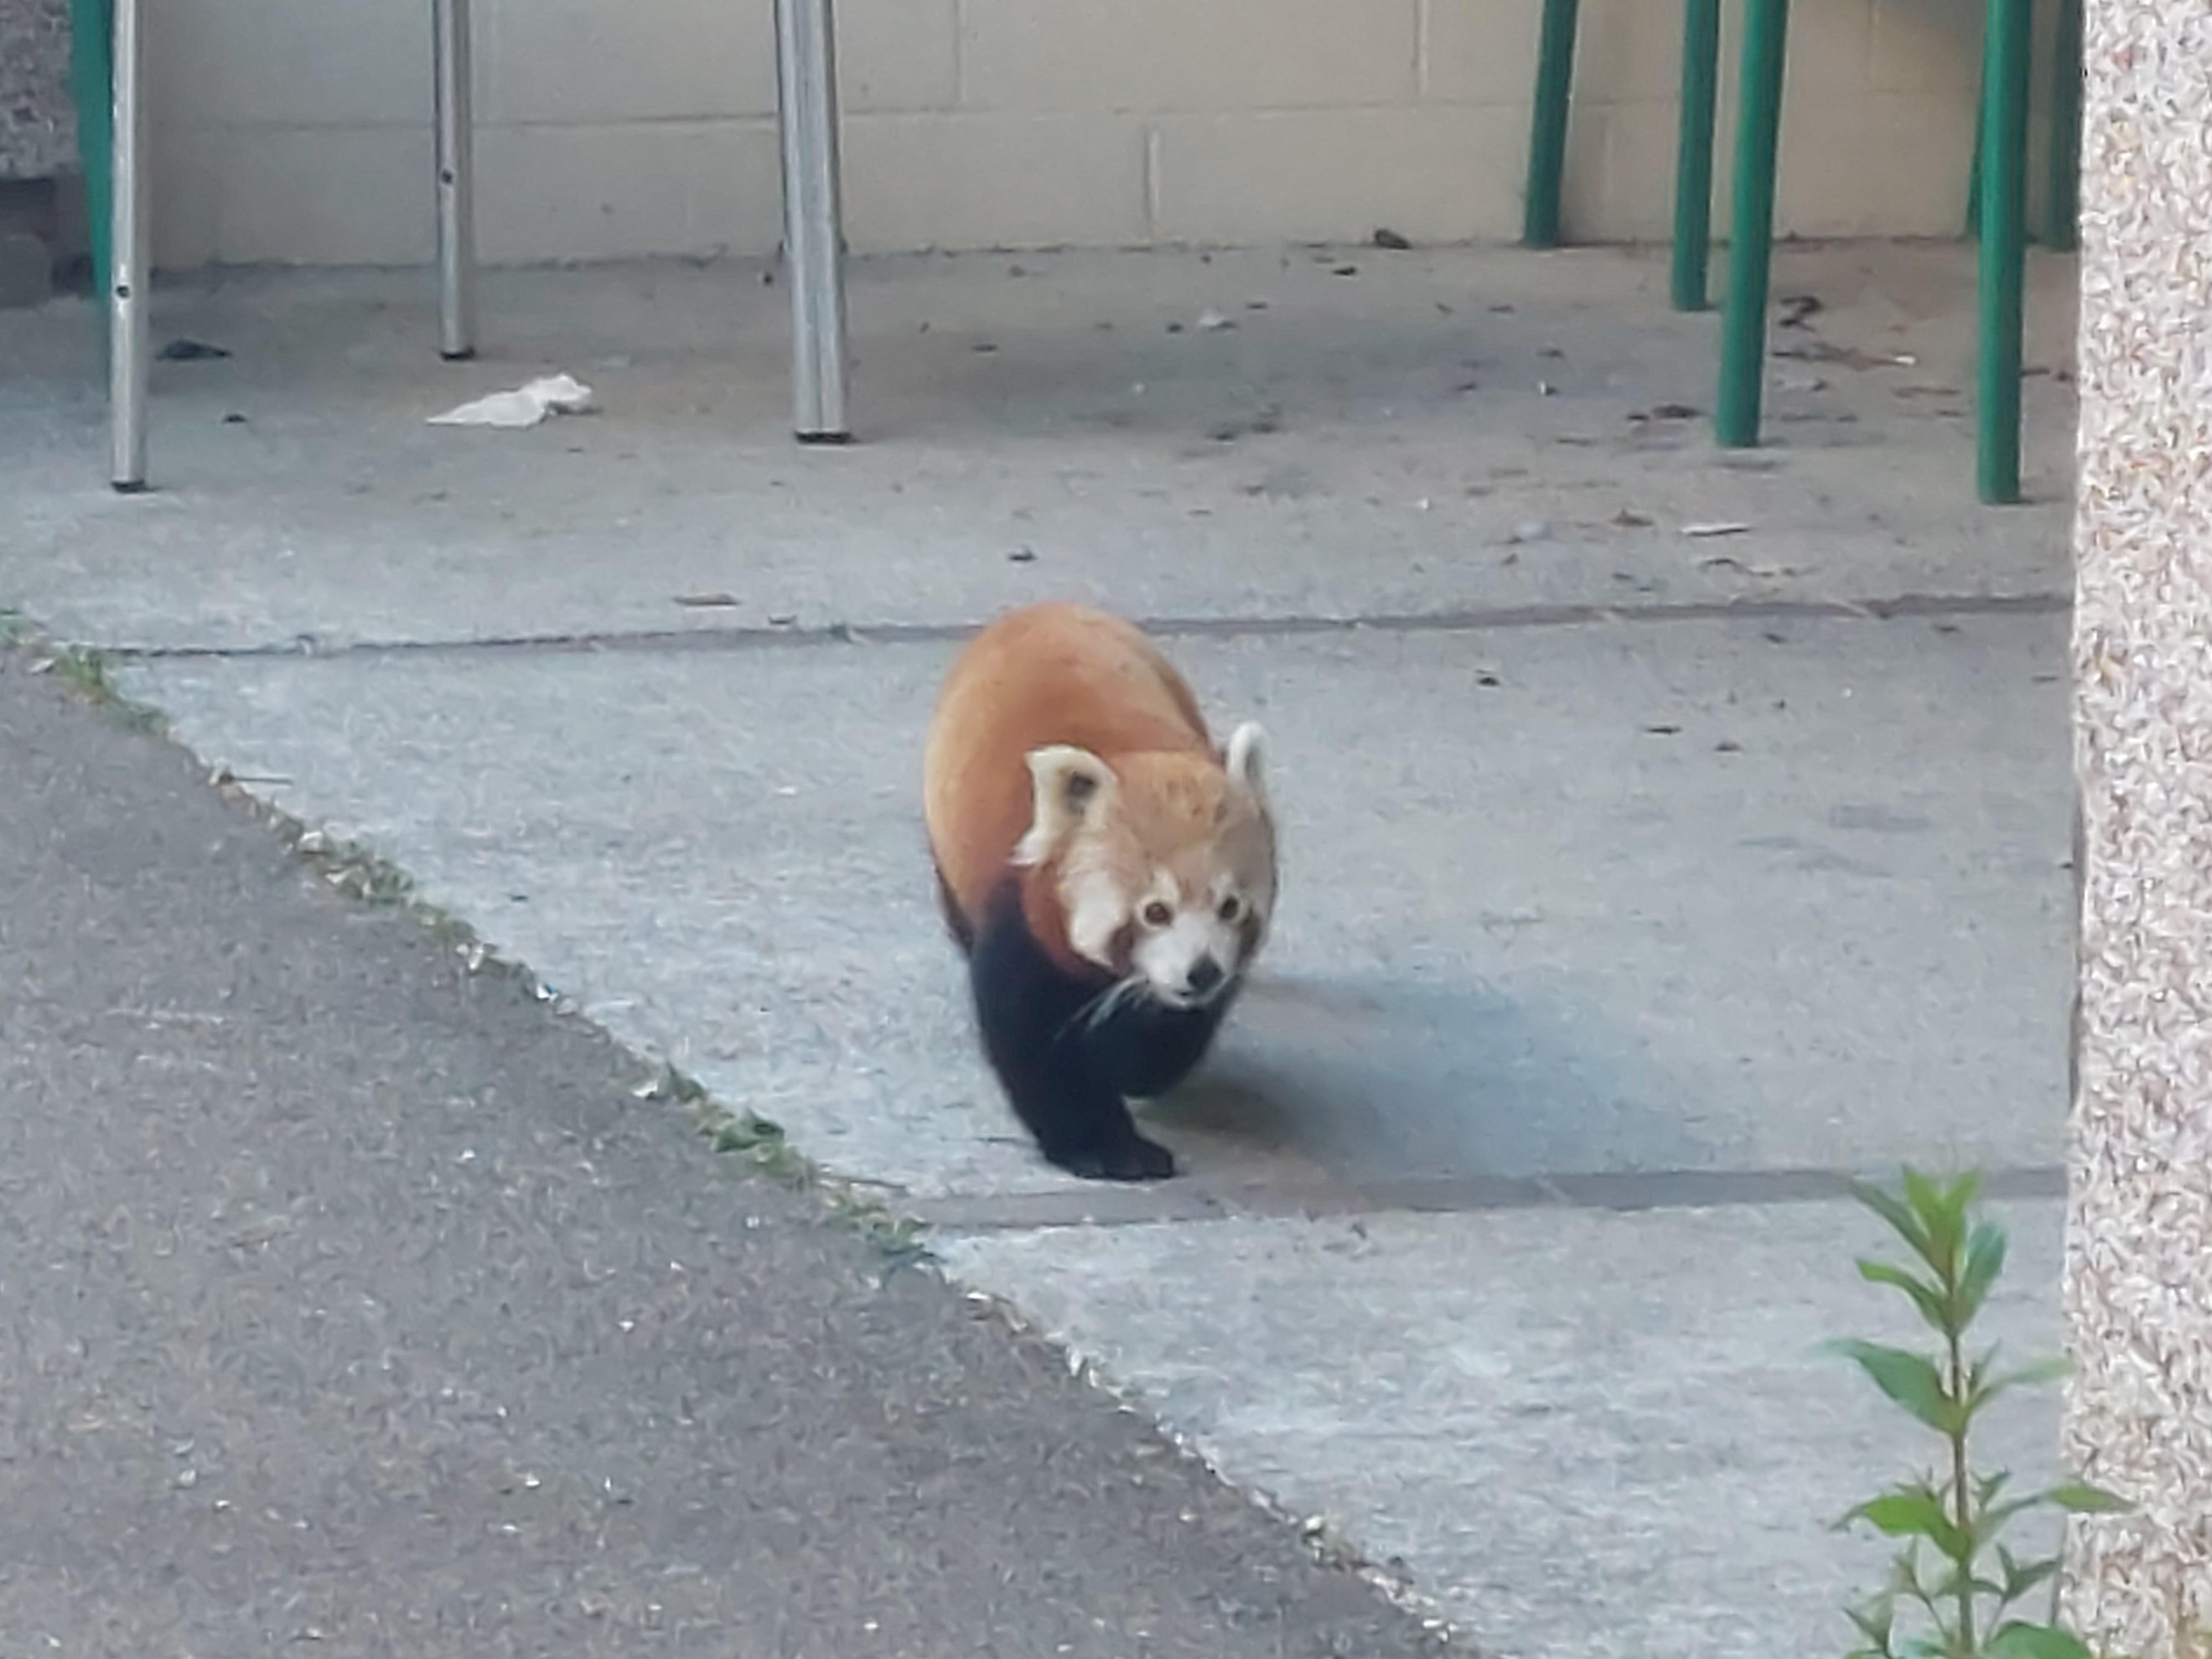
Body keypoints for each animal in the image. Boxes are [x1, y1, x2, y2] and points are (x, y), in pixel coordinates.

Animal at [920, 606, 1283, 1185]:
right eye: (1154, 912)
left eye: (1230, 907)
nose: (1201, 972)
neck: (1134, 754)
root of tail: (1044, 606)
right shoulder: (1021, 911)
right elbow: (1038, 1046)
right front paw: (1108, 1148)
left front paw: (1136, 1064)